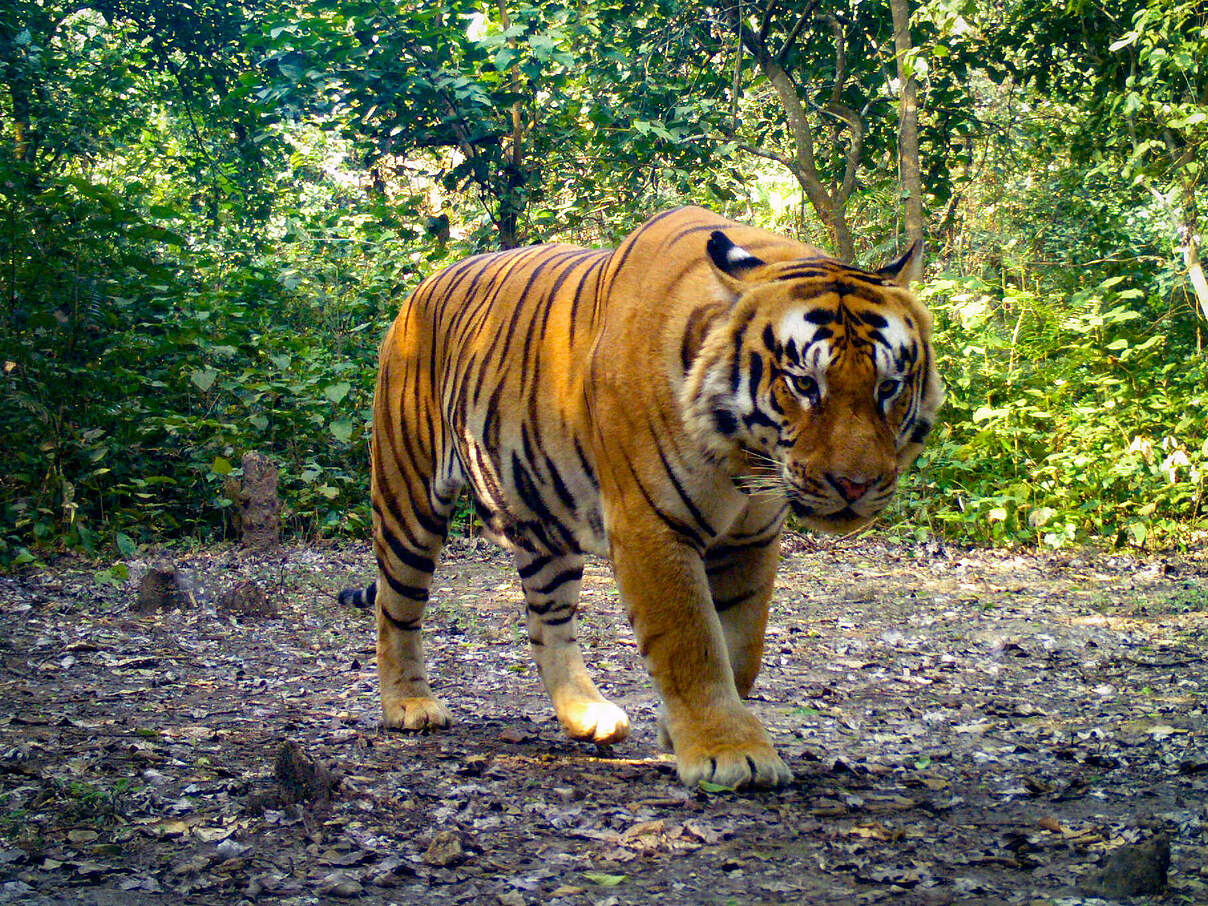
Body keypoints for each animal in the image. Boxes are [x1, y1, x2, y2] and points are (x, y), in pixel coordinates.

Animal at [340, 205, 942, 787]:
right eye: (803, 383)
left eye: (888, 387)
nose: (855, 485)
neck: (746, 456)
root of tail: (423, 284)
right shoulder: (652, 524)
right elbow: (691, 641)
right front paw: (730, 754)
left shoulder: (752, 537)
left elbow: (742, 645)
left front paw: (686, 732)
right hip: (407, 496)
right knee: (397, 607)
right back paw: (409, 705)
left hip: (543, 520)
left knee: (546, 621)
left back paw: (587, 716)